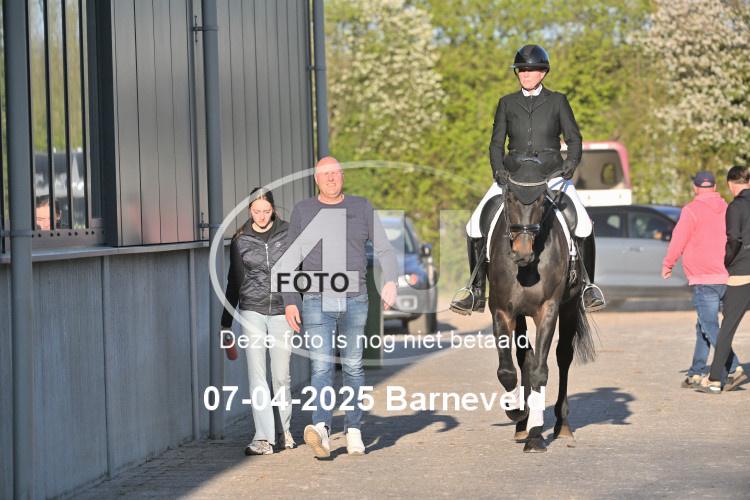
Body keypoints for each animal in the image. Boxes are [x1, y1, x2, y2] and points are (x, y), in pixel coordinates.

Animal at [486, 172, 596, 453]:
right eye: (510, 199)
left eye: (539, 203)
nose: (522, 252)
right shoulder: (502, 312)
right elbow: (508, 369)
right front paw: (517, 412)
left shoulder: (548, 310)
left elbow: (540, 371)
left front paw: (536, 435)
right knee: (524, 357)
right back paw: (521, 425)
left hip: (569, 308)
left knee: (563, 357)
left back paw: (562, 426)